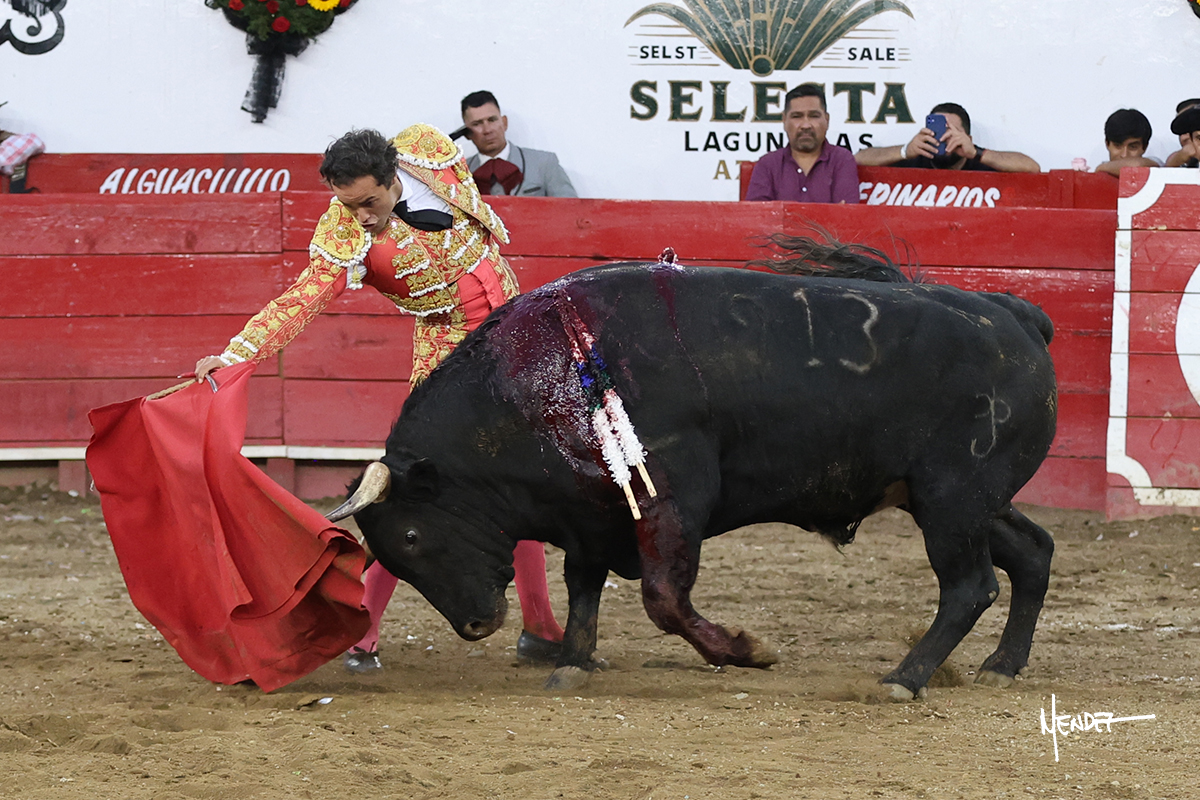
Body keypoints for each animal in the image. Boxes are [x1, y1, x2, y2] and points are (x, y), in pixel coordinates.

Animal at [328, 239, 1057, 700]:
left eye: (413, 536)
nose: (477, 625)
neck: (545, 377)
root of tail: (1017, 314)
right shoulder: (589, 513)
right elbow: (583, 587)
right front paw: (572, 664)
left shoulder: (671, 500)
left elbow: (664, 599)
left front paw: (746, 651)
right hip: (962, 500)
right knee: (1033, 551)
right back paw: (1001, 666)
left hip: (952, 498)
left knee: (970, 587)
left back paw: (903, 679)